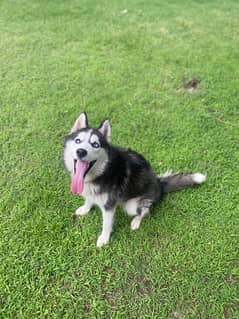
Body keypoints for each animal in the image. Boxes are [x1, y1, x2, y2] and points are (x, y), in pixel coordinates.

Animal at [64, 112, 207, 248]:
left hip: (132, 205)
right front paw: (85, 209)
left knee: (145, 211)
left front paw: (104, 238)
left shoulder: (109, 205)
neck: (102, 171)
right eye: (78, 140)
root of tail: (159, 184)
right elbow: (89, 199)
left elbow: (106, 224)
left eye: (95, 144)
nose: (81, 151)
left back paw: (136, 222)